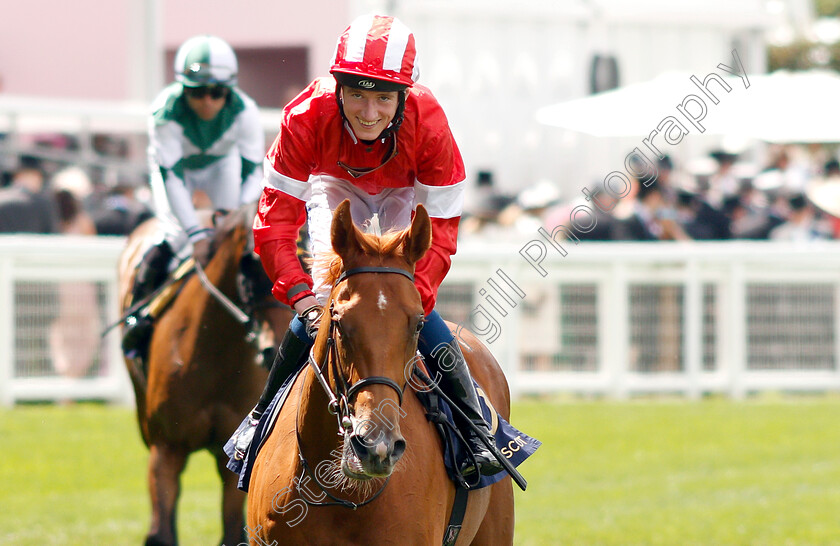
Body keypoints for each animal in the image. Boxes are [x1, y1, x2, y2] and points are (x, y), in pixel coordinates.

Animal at [116, 204, 290, 544]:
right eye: (251, 263)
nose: (275, 346)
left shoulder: (231, 453)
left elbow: (232, 532)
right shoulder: (166, 448)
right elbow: (161, 533)